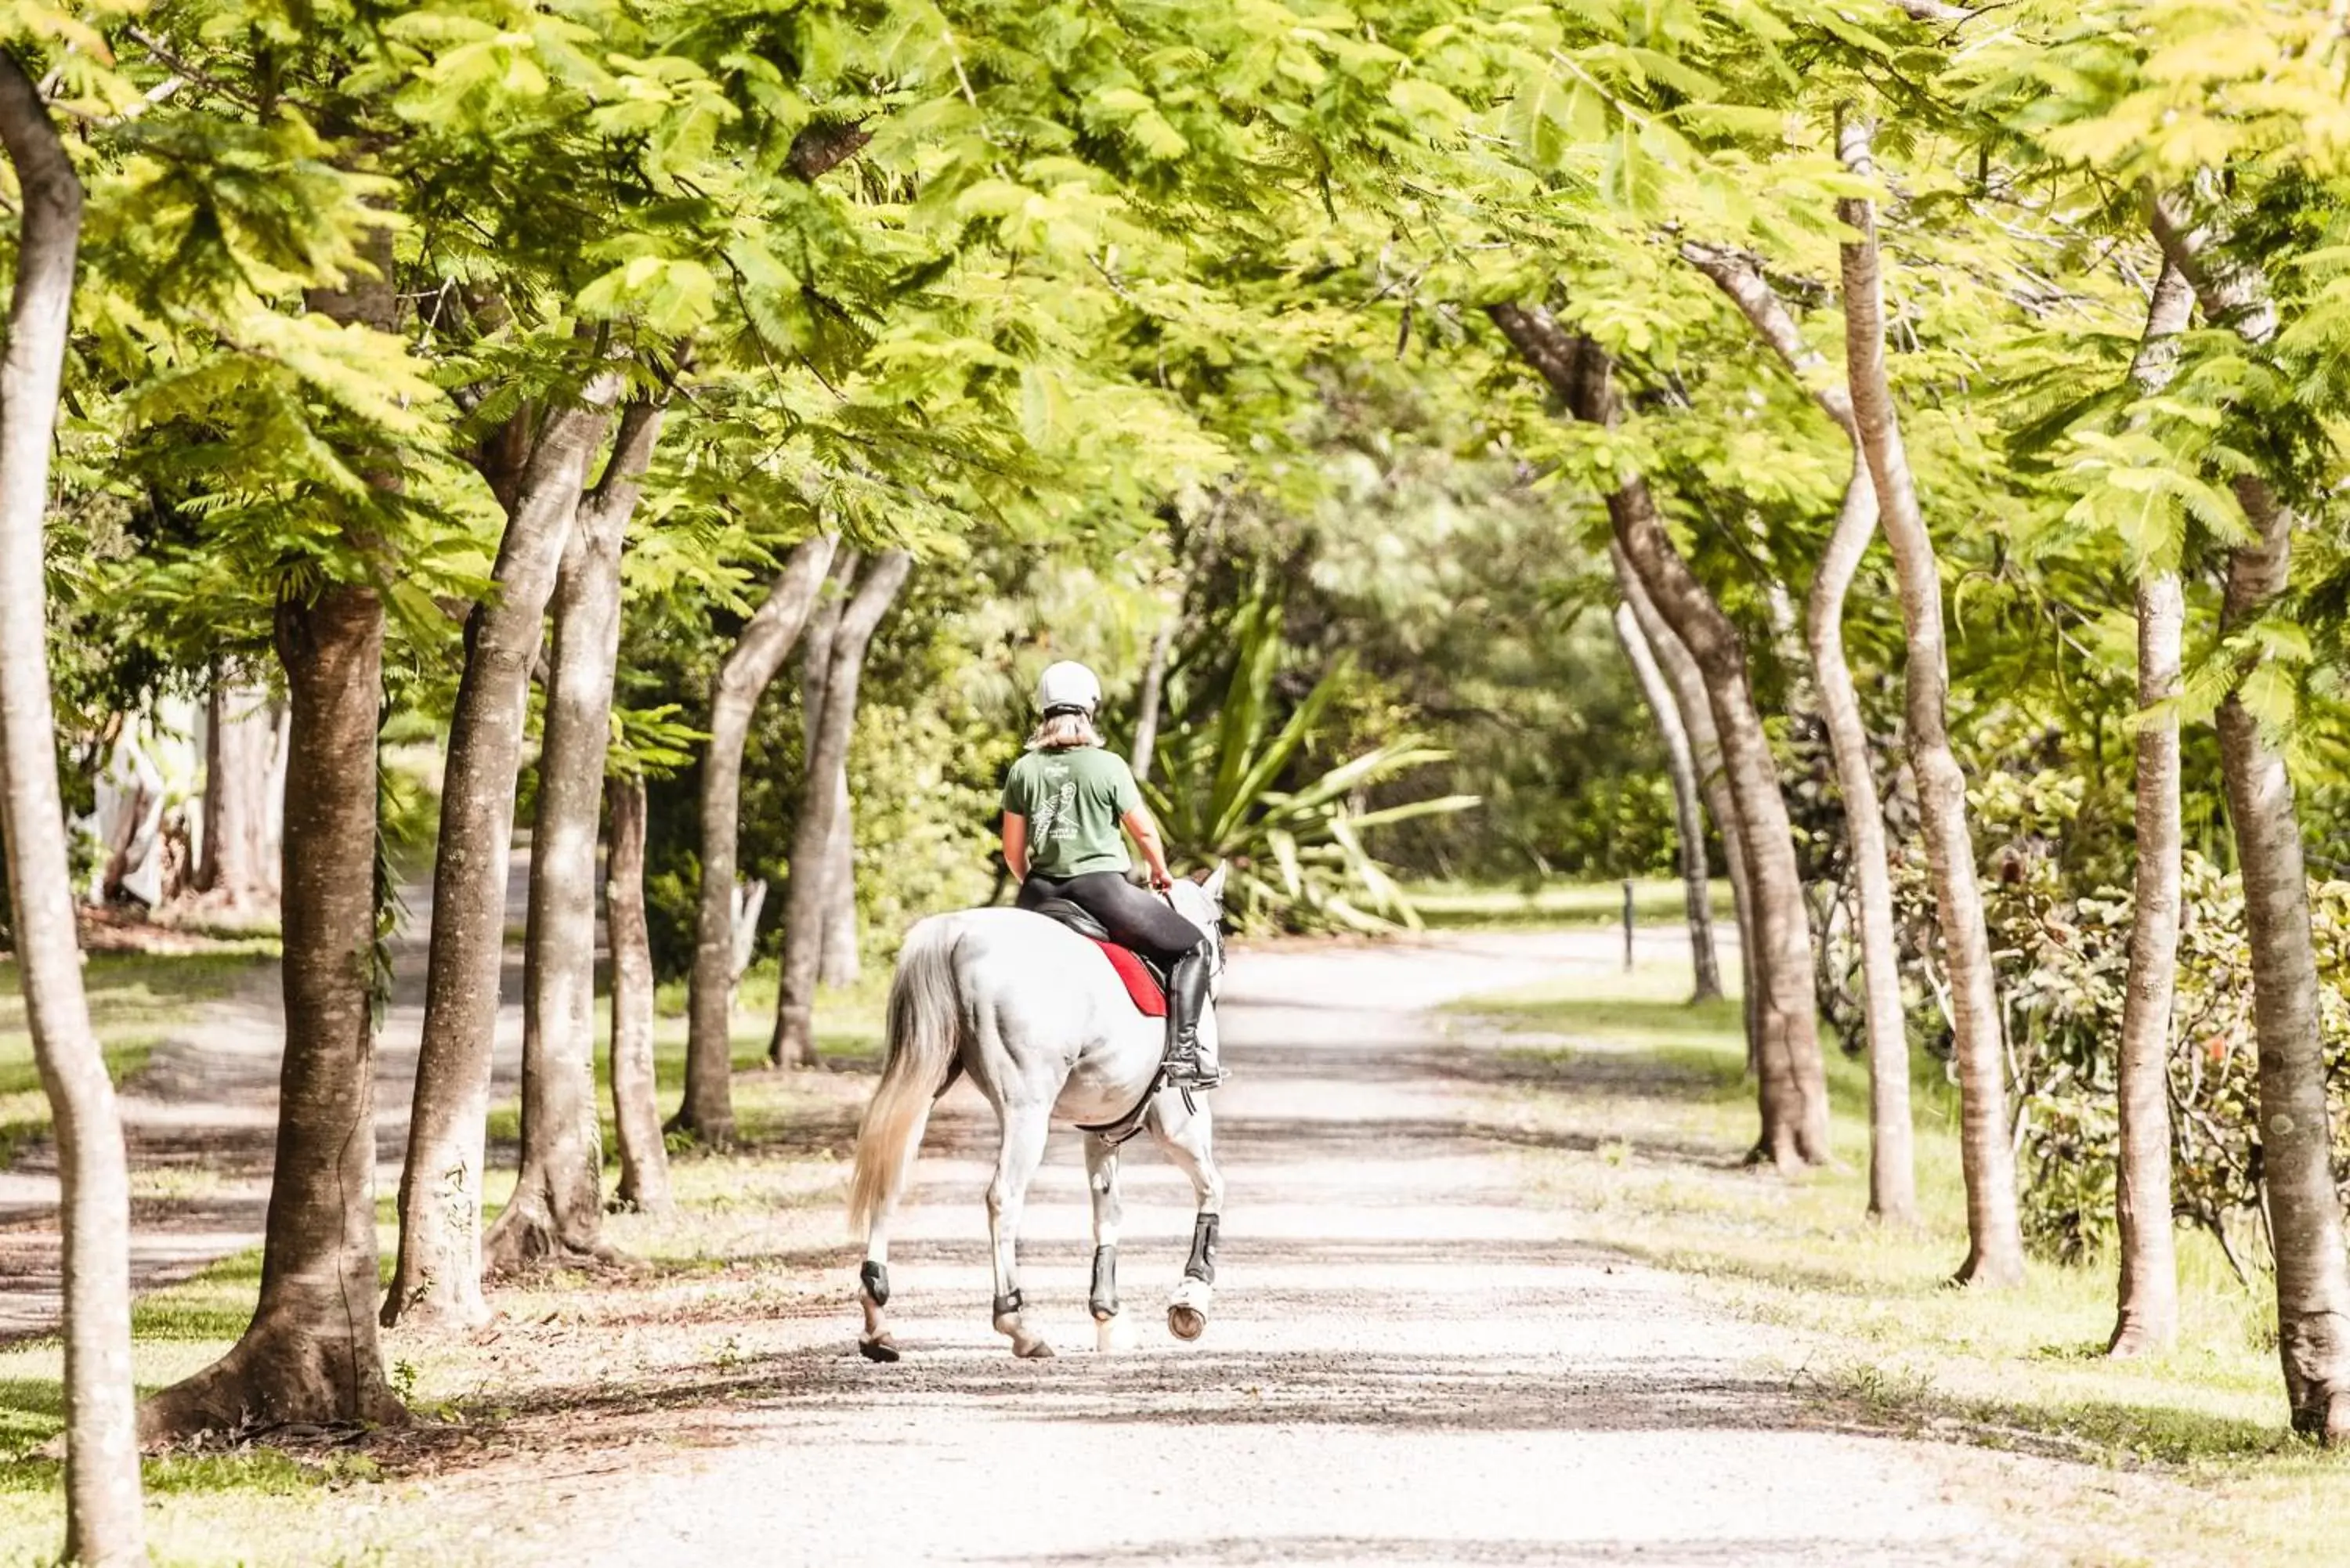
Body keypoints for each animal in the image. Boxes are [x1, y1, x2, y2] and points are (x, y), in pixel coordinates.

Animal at [851, 869, 1231, 1363]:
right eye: (1219, 930)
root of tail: (957, 933)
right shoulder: (1179, 1124)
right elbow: (1212, 1190)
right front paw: (1190, 1300)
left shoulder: (1102, 1131)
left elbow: (1107, 1213)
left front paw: (1108, 1318)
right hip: (1027, 1108)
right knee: (1003, 1197)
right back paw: (1018, 1325)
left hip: (924, 1079)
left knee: (890, 1173)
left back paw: (878, 1322)